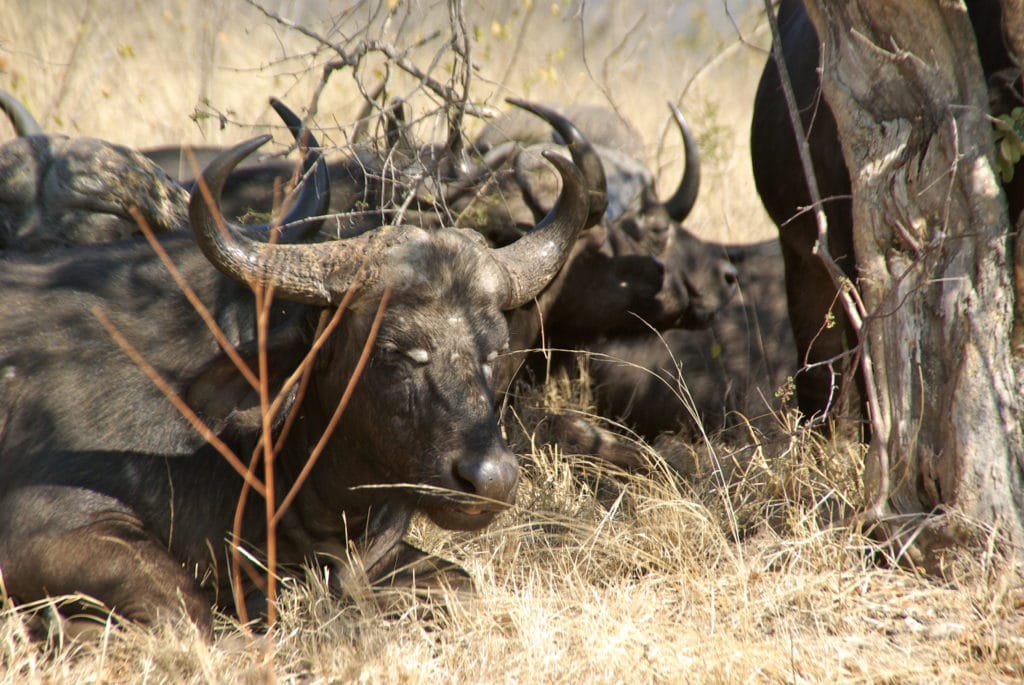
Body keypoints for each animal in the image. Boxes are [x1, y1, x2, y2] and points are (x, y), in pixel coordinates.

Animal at [0, 131, 593, 634]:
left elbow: (460, 585)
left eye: (493, 350)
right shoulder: (46, 523)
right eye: (393, 349)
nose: (490, 480)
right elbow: (186, 613)